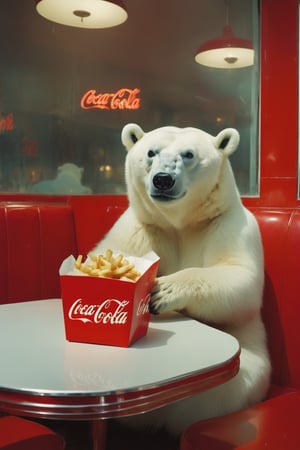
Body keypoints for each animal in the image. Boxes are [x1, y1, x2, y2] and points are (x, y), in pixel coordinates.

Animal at [94, 123, 272, 436]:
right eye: (151, 152)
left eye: (189, 154)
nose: (163, 180)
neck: (180, 224)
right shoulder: (141, 227)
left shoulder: (228, 224)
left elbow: (240, 279)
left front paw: (161, 291)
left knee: (219, 393)